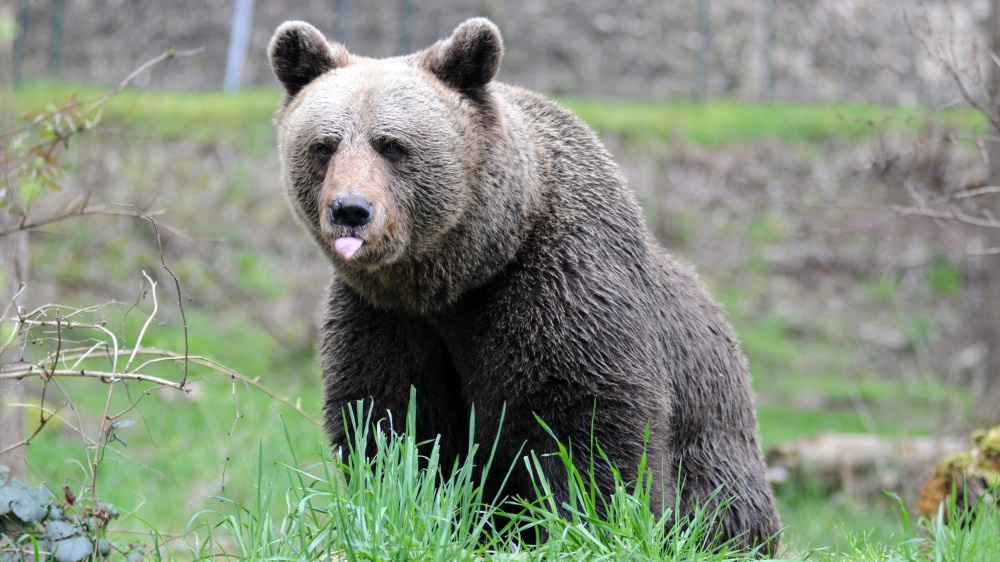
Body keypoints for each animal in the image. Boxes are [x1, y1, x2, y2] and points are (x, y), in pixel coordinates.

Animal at [272, 16, 780, 552]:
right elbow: (391, 423)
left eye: (391, 145)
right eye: (323, 146)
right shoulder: (384, 316)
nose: (350, 210)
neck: (461, 274)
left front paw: (585, 526)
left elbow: (585, 424)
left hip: (716, 447)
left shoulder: (559, 289)